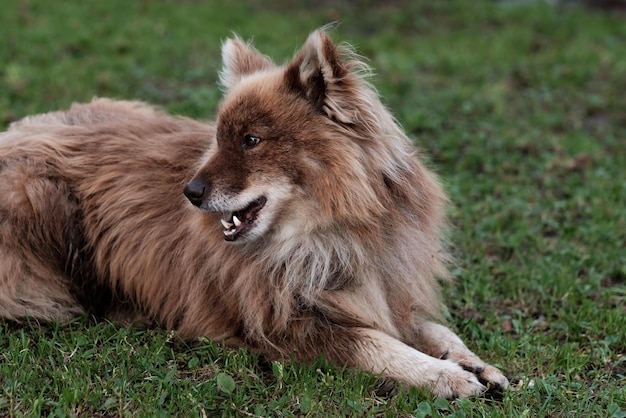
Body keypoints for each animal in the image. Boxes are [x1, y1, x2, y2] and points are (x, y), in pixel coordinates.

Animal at [0, 30, 508, 398]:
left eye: (250, 140)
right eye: (219, 139)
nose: (189, 192)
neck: (328, 234)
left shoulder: (383, 285)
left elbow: (431, 327)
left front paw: (473, 362)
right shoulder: (284, 325)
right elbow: (375, 343)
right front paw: (446, 377)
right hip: (41, 199)